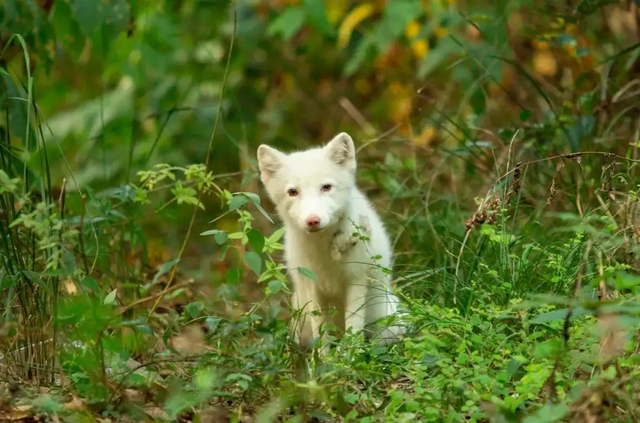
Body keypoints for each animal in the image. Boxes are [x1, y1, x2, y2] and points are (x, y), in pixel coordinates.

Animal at [256, 132, 402, 352]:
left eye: (326, 187)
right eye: (293, 192)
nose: (313, 220)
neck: (325, 256)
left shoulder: (356, 279)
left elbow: (353, 327)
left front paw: (352, 356)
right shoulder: (312, 287)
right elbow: (322, 335)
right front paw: (324, 359)